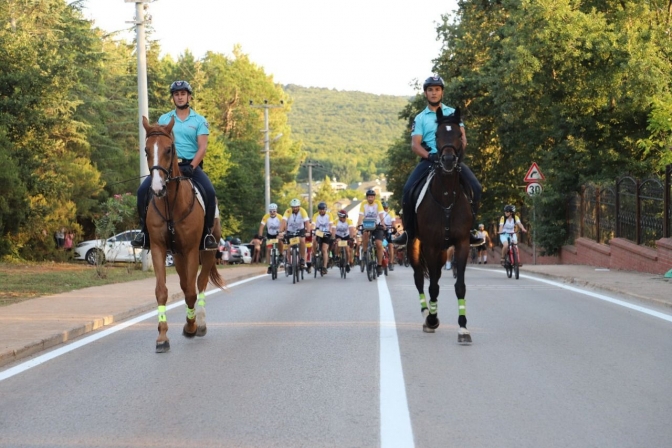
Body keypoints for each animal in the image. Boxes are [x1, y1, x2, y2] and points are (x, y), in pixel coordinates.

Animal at [142, 116, 226, 354]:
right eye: (146, 150)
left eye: (169, 149)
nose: (157, 188)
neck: (171, 203)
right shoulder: (159, 249)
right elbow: (162, 291)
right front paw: (162, 337)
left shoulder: (190, 250)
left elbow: (191, 292)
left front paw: (191, 326)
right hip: (178, 255)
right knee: (184, 283)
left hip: (206, 252)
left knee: (200, 283)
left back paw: (201, 323)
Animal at [410, 107, 472, 344]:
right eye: (436, 135)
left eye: (458, 134)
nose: (446, 160)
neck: (446, 196)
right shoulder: (430, 245)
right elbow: (433, 285)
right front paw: (432, 319)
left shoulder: (462, 243)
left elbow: (460, 286)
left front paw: (463, 328)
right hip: (414, 243)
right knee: (420, 278)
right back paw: (426, 314)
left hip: (444, 250)